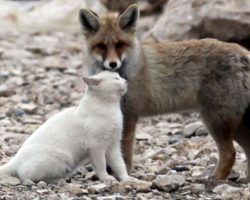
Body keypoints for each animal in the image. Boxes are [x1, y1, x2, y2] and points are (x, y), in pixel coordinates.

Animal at [0, 71, 129, 184]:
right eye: (116, 78)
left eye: (120, 76)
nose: (126, 81)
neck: (111, 108)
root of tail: (15, 159)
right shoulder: (96, 147)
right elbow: (101, 166)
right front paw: (106, 178)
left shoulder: (114, 145)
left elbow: (120, 165)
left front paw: (127, 179)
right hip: (59, 159)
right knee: (25, 176)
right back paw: (55, 181)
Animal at [79, 4, 250, 180]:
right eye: (101, 46)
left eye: (120, 44)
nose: (113, 64)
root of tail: (243, 51)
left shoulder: (129, 115)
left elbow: (123, 155)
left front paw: (124, 176)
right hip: (233, 125)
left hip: (216, 120)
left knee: (229, 153)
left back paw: (215, 179)